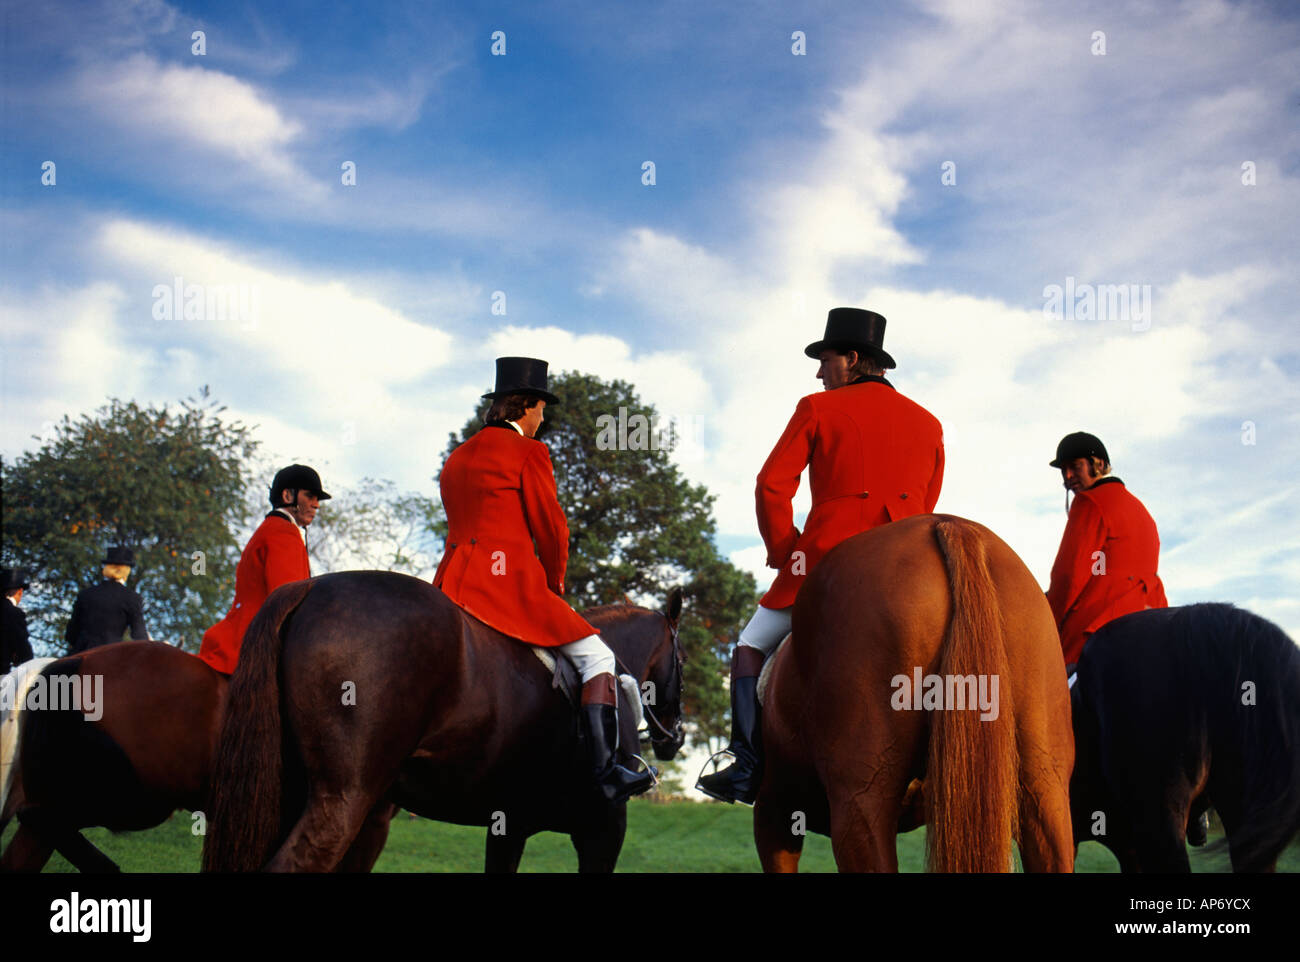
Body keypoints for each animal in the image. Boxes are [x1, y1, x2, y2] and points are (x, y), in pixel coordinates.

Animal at [202, 572, 686, 873]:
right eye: (682, 657)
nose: (676, 736)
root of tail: (310, 585)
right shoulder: (603, 831)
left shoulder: (509, 826)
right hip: (341, 802)